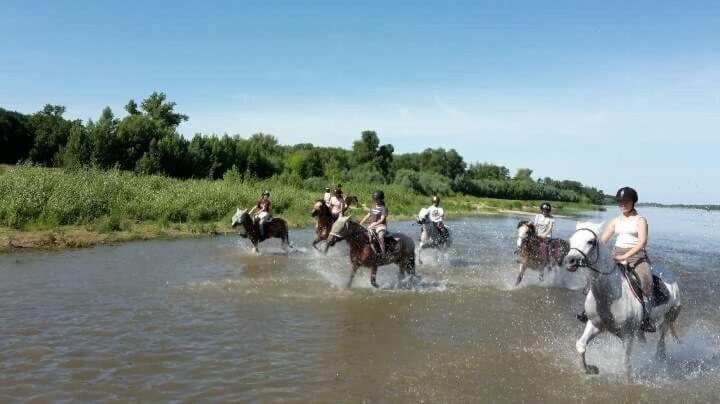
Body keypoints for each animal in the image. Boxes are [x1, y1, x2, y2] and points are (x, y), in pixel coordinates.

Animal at [564, 223, 680, 378]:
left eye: (590, 241)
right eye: (571, 240)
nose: (570, 261)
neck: (609, 295)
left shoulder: (627, 335)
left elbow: (626, 364)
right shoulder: (595, 324)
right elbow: (581, 345)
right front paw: (590, 369)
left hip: (670, 315)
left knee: (662, 337)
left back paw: (660, 357)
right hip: (641, 328)